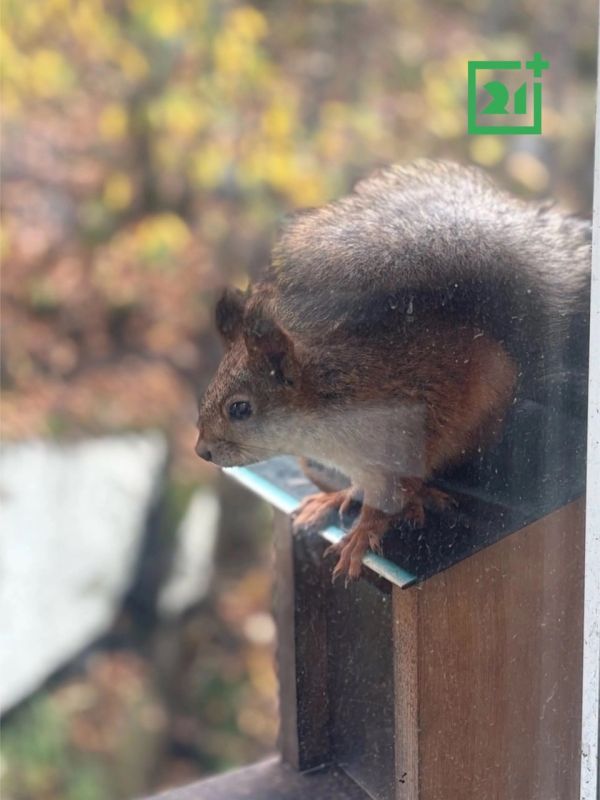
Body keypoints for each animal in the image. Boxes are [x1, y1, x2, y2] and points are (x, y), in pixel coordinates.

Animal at [196, 160, 591, 581]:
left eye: (240, 408)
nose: (202, 450)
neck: (325, 400)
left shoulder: (394, 447)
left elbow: (384, 500)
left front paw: (359, 538)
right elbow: (363, 488)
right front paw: (340, 497)